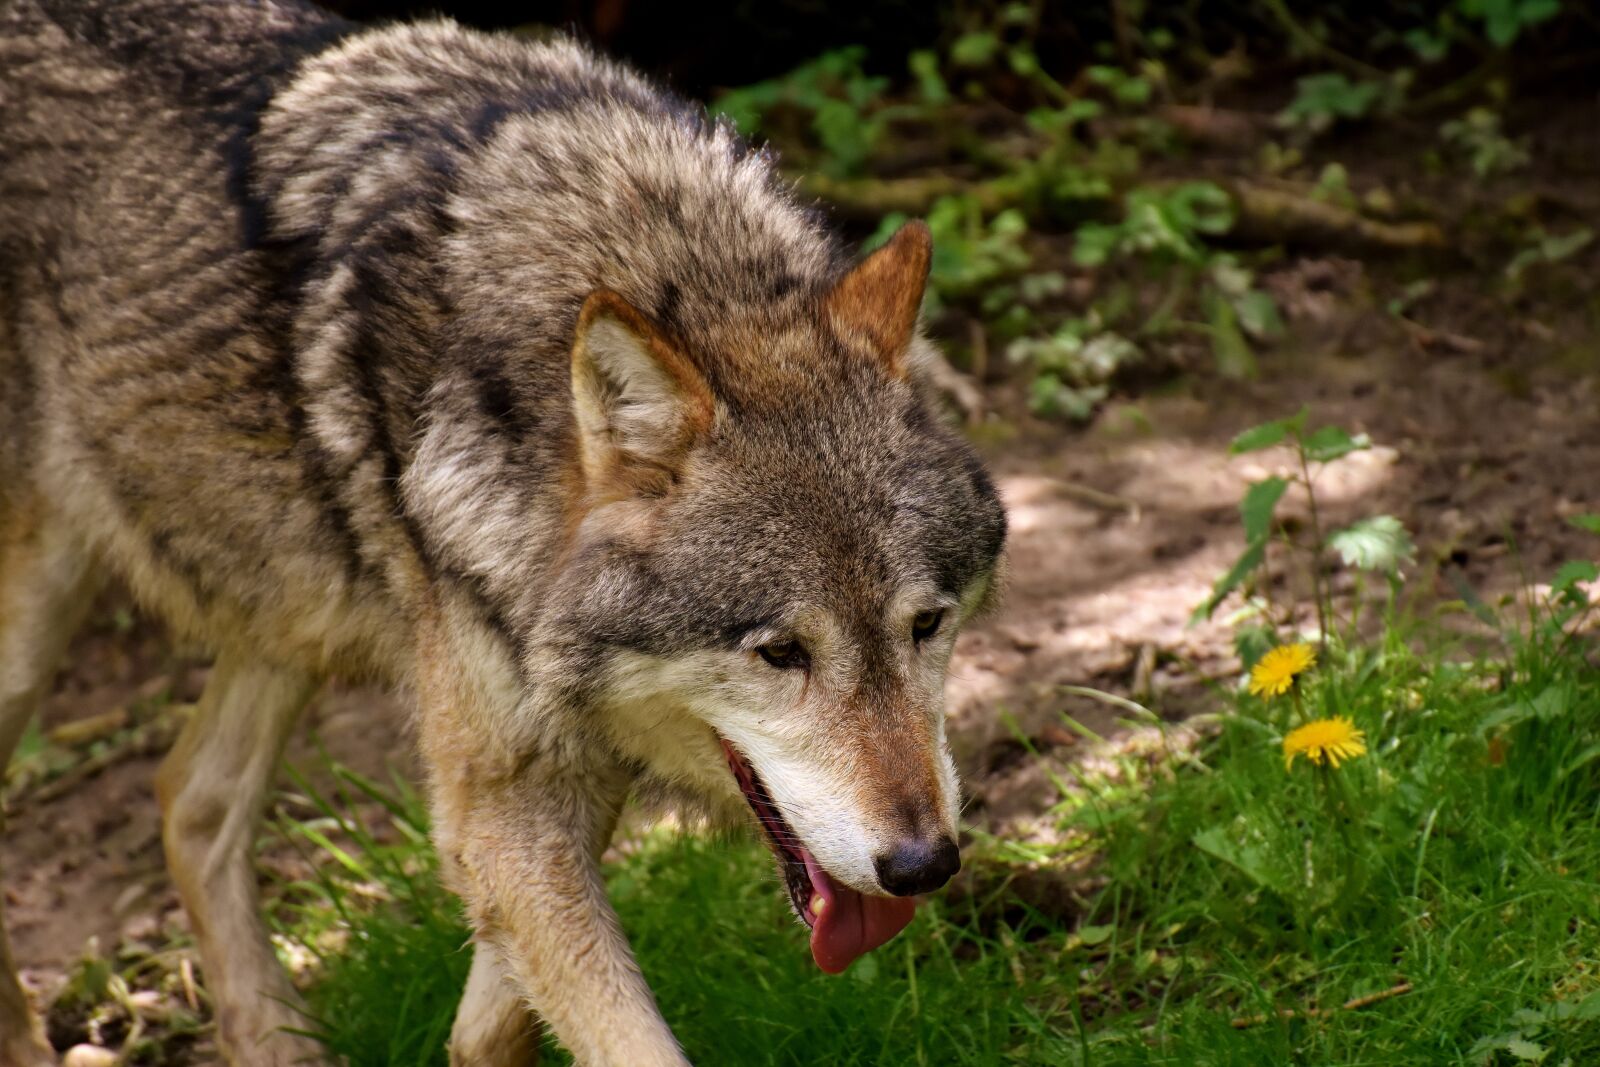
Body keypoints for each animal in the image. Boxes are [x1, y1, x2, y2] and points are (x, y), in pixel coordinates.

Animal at [0, 1, 1007, 1063]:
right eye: (780, 652)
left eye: (927, 624)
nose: (923, 863)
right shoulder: (501, 797)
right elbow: (625, 1036)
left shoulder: (558, 771)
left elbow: (494, 1023)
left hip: (292, 614)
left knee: (189, 796)